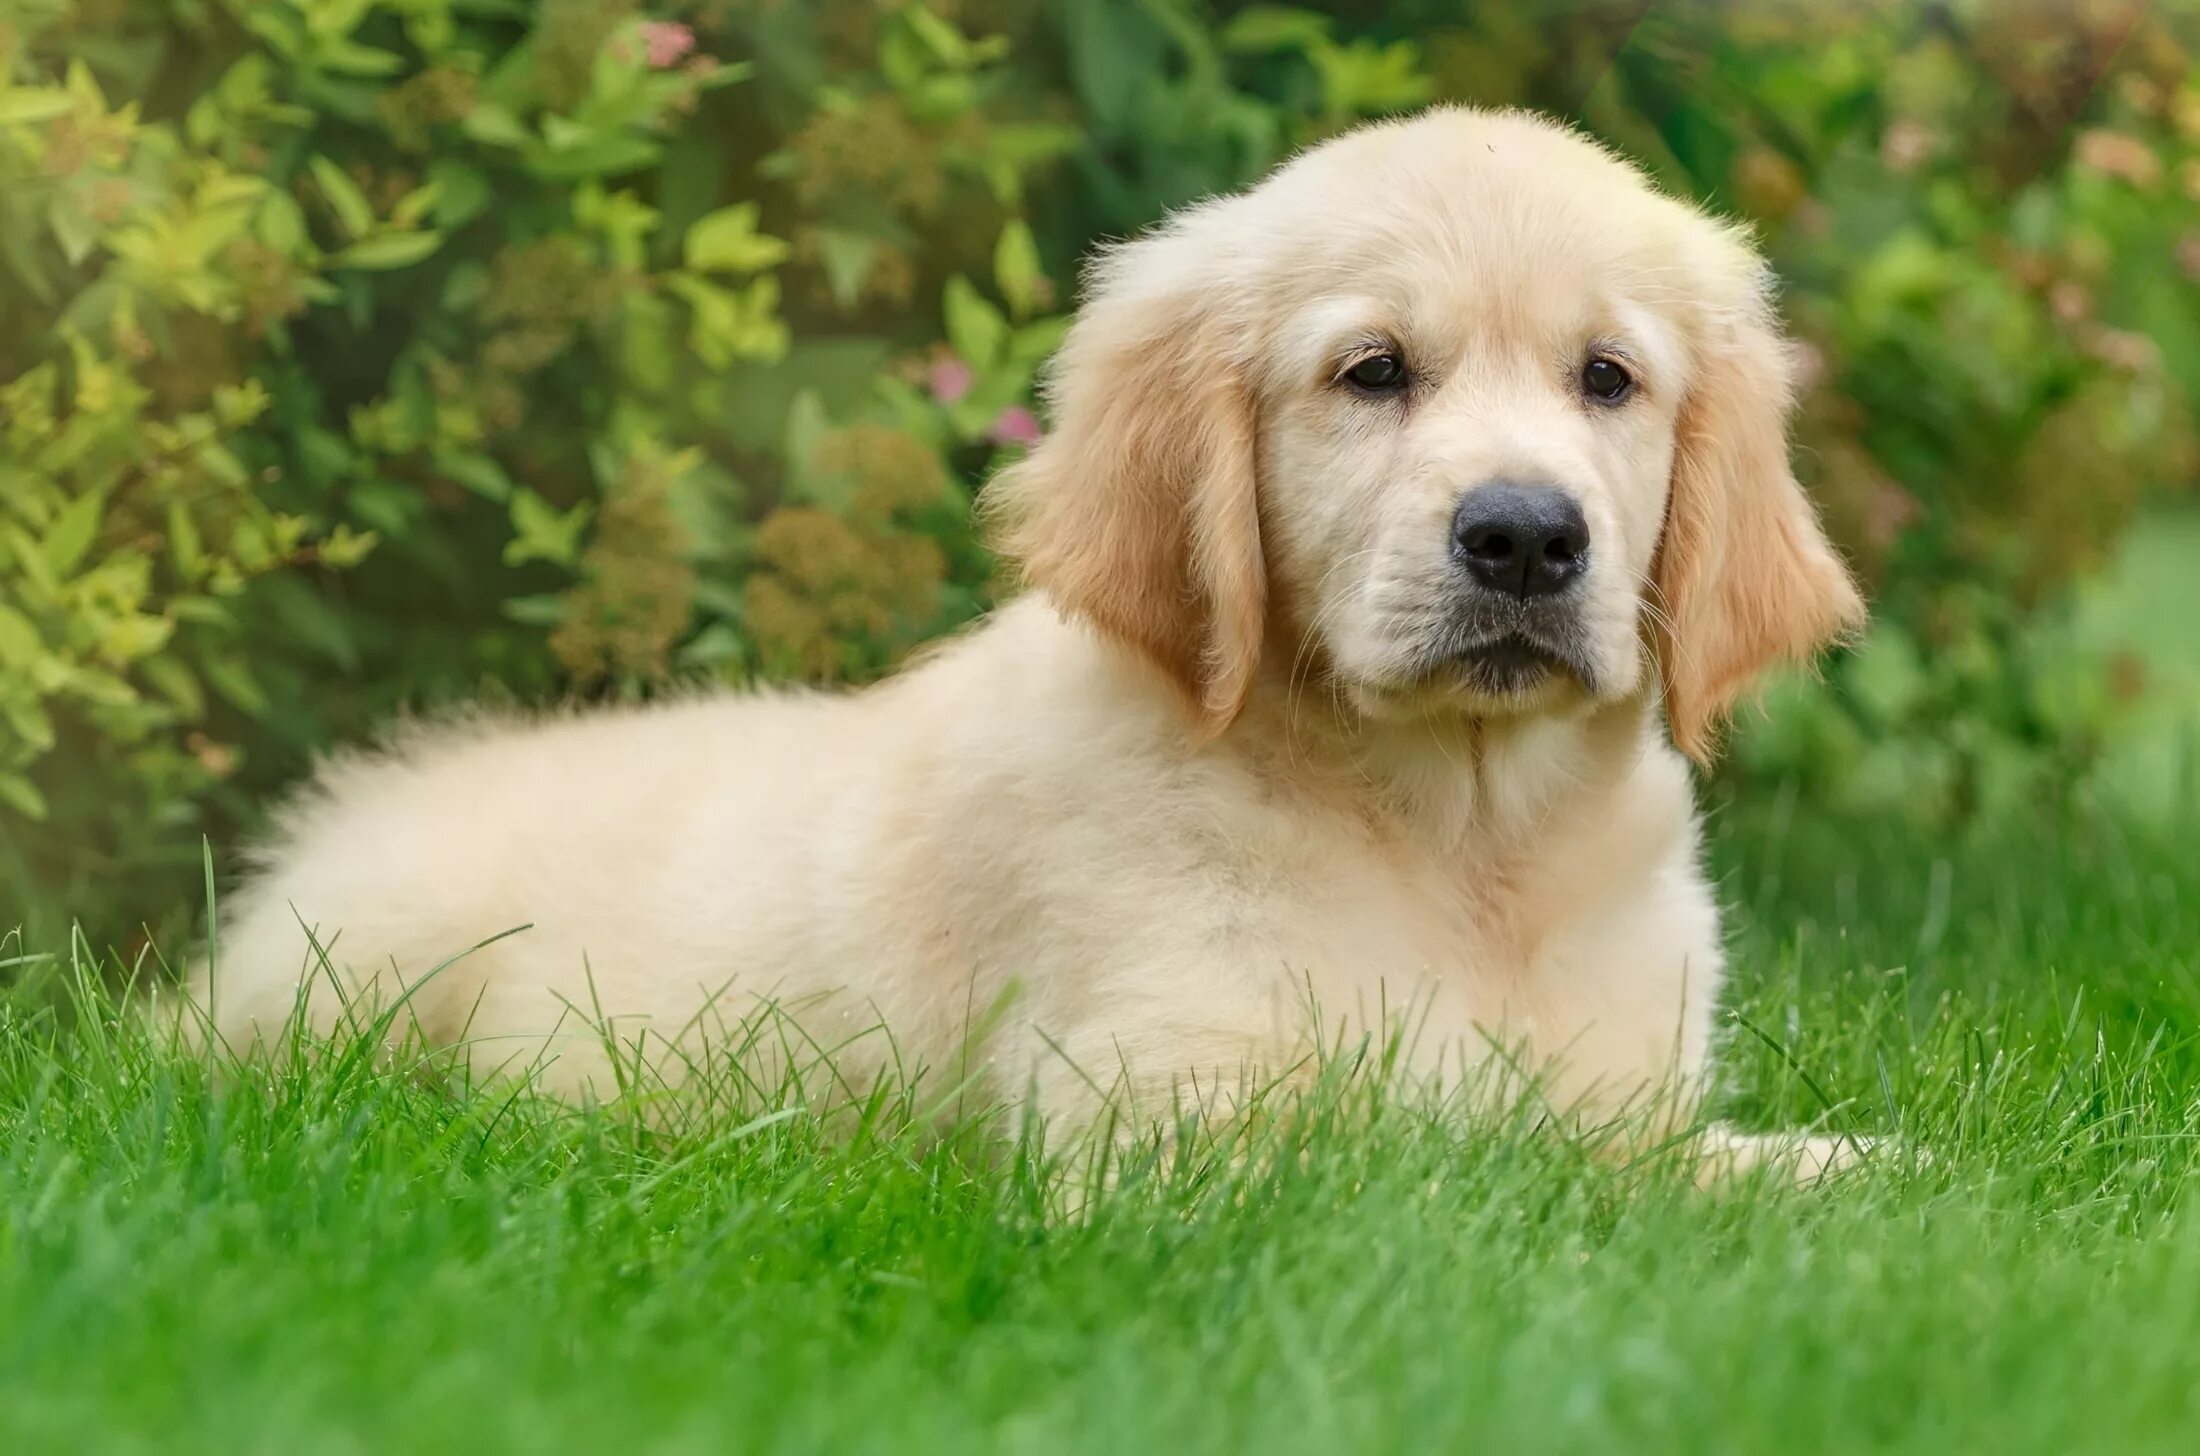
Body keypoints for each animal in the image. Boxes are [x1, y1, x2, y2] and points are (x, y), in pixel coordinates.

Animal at [180, 111, 1874, 1187]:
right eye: (1372, 371)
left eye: (1609, 380)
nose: (1524, 537)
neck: (1460, 846)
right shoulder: (1162, 1135)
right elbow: (1509, 1186)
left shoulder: (1625, 1084)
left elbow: (1717, 1165)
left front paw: (1853, 1172)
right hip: (357, 962)